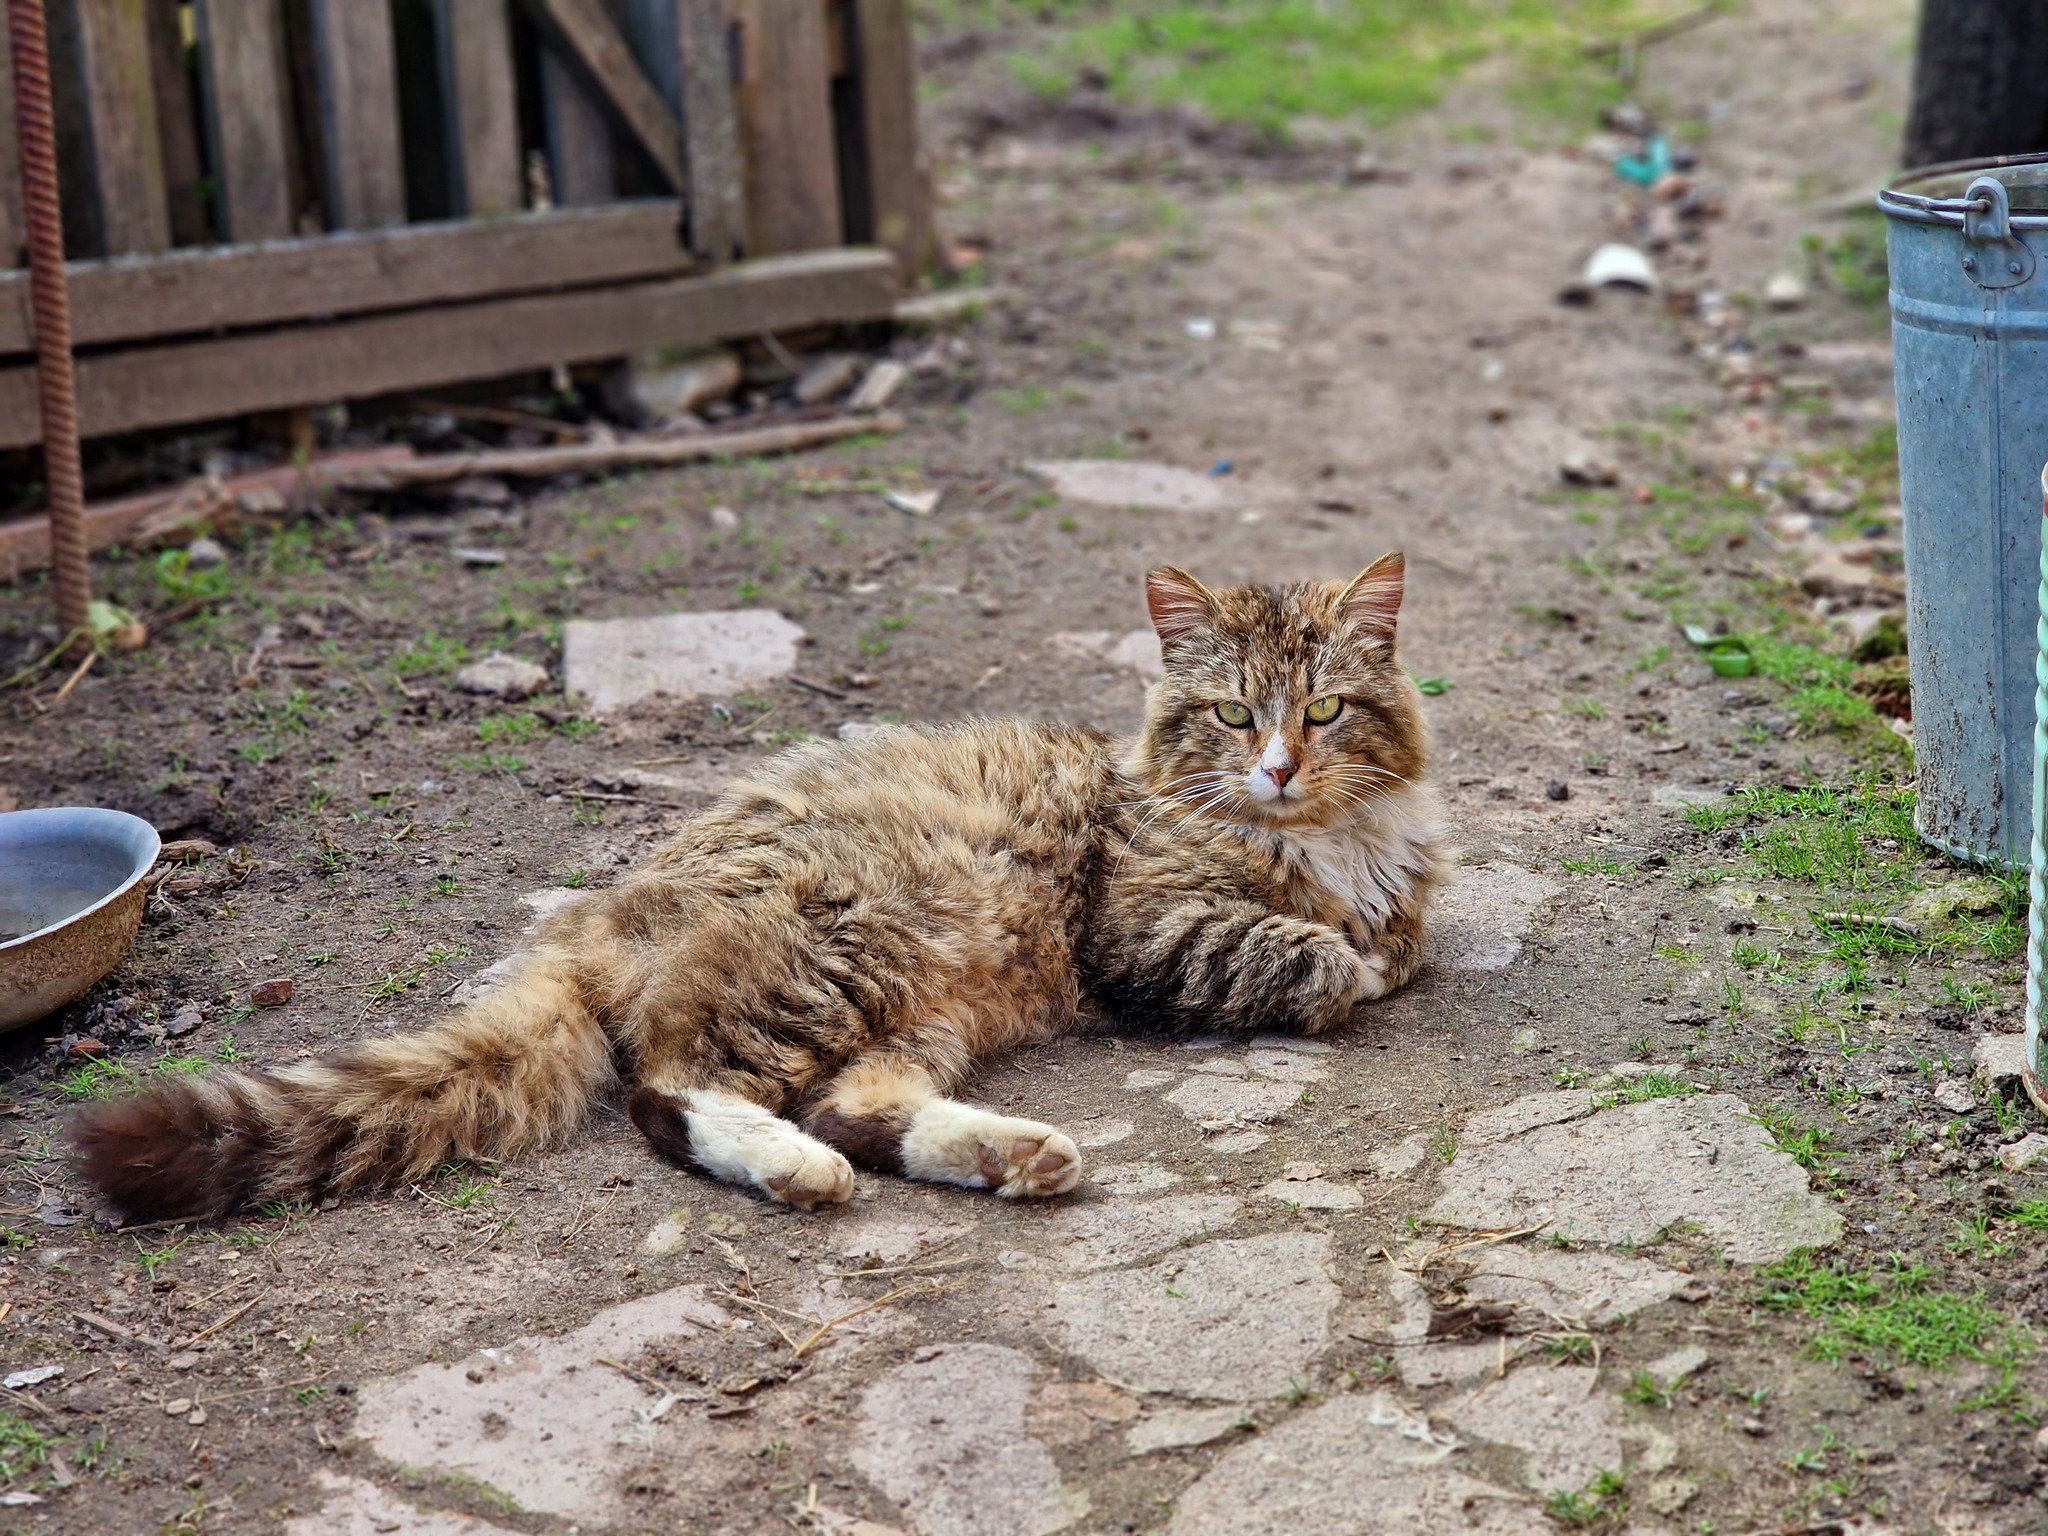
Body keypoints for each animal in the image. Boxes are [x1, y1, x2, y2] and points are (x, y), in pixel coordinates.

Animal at [75, 561, 1441, 1220]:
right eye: (1232, 715)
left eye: (1324, 711)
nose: (1277, 766)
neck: (1321, 837)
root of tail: (592, 912)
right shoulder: (1139, 927)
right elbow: (1322, 960)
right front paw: (1341, 956)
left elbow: (1393, 938)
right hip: (845, 949)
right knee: (675, 1091)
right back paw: (798, 1174)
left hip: (920, 1005)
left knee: (850, 1109)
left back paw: (1012, 1157)